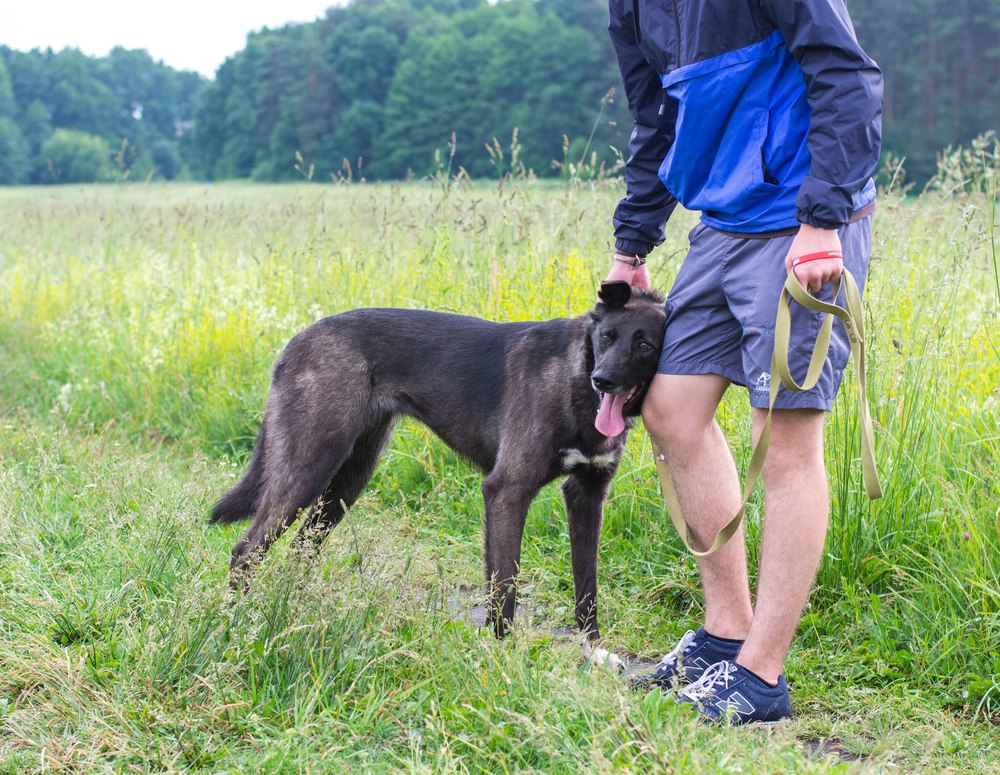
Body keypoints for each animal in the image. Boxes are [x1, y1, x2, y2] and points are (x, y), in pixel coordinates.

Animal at [210, 282, 664, 640]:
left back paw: (296, 606)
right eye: (606, 337)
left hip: (348, 480)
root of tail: (297, 339)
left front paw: (592, 653)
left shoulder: (587, 494)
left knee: (302, 547)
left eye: (645, 344)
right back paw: (234, 622)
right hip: (310, 466)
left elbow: (586, 585)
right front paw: (503, 658)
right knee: (246, 550)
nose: (603, 380)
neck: (575, 378)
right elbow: (505, 587)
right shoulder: (507, 490)